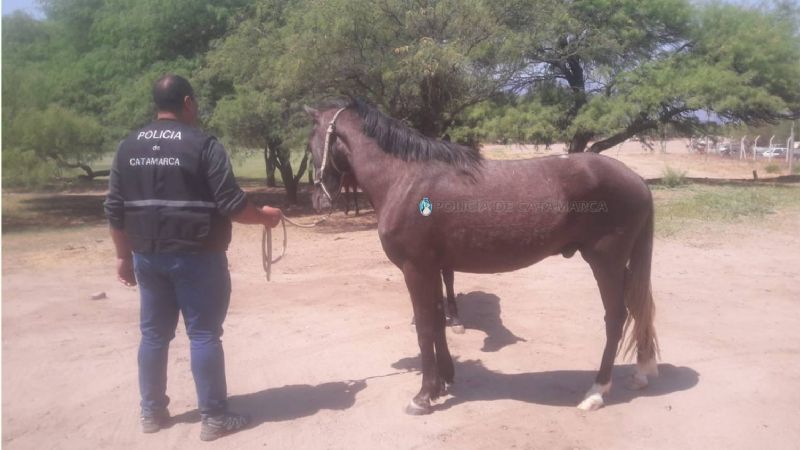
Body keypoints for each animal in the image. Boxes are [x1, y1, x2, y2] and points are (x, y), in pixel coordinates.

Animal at [304, 99, 659, 415]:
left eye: (311, 145)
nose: (318, 200)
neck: (405, 180)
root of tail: (638, 181)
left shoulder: (415, 269)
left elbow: (424, 328)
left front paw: (423, 396)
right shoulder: (432, 268)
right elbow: (438, 322)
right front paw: (443, 382)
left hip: (605, 262)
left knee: (616, 317)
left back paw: (596, 392)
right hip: (621, 265)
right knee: (637, 308)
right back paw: (642, 372)